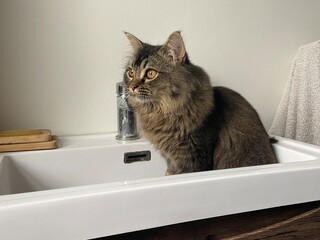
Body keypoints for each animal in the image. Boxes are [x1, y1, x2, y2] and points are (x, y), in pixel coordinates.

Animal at [122, 31, 278, 174]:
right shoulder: (171, 160)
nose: (131, 87)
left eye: (150, 73)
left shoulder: (194, 157)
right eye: (130, 73)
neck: (160, 112)